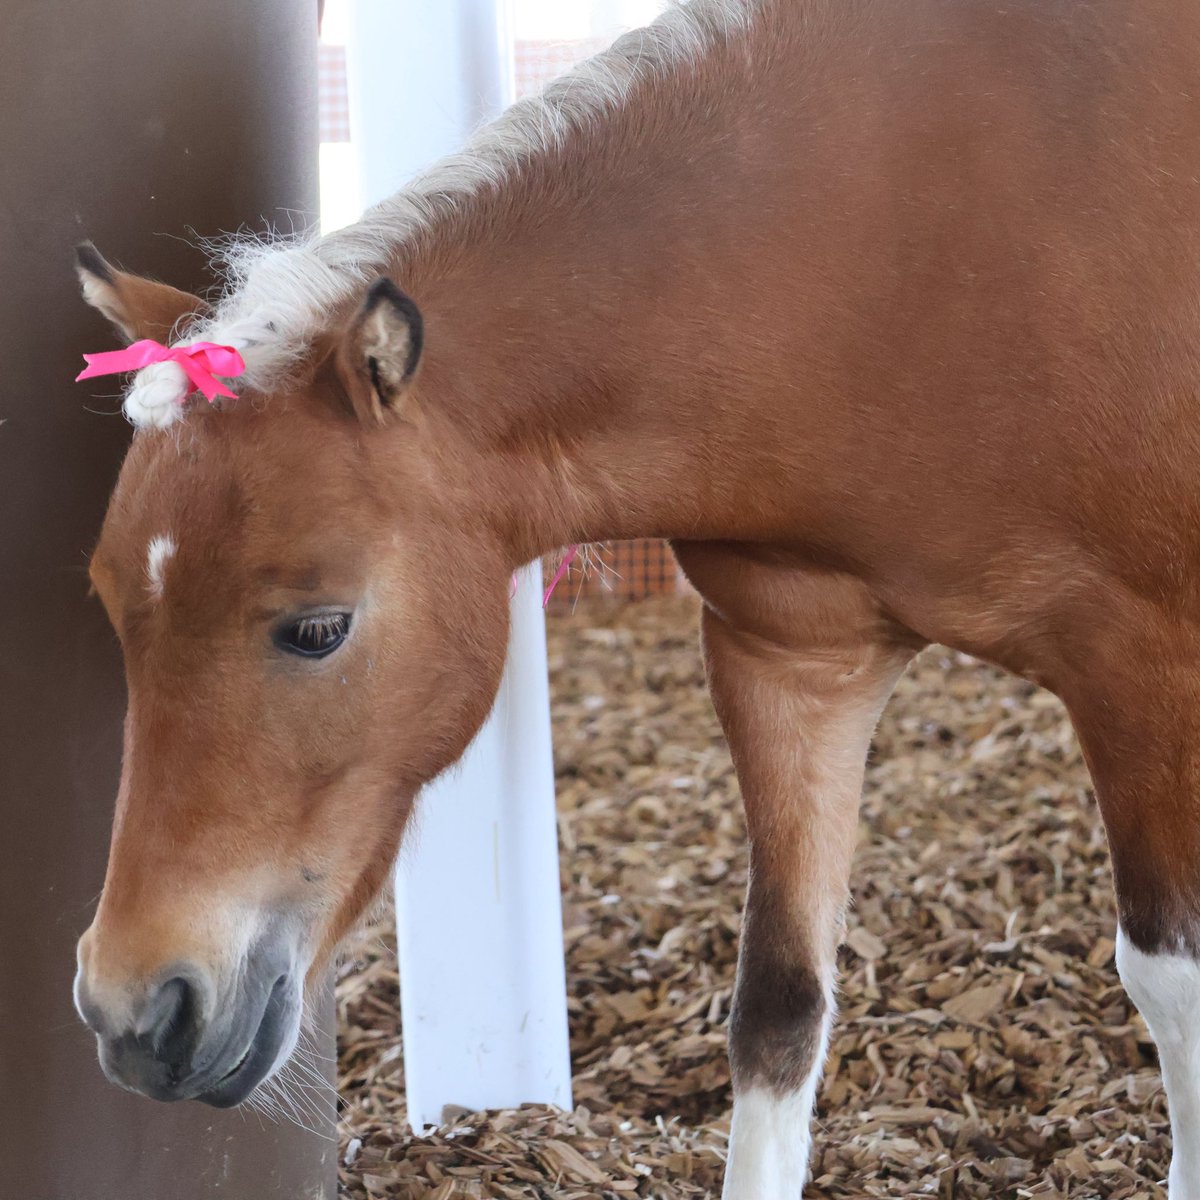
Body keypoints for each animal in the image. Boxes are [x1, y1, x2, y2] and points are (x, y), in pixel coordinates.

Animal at [71, 0, 1200, 1194]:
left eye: (319, 628)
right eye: (113, 608)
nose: (135, 1012)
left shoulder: (1144, 671)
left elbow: (1169, 984)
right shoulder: (792, 660)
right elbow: (779, 1004)